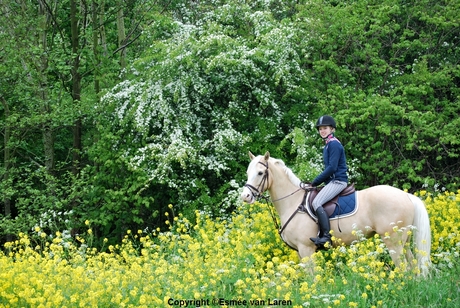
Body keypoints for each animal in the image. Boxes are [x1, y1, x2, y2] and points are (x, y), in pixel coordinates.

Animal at [241, 152, 432, 276]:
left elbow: (312, 279)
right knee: (412, 267)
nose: (245, 196)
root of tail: (407, 196)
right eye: (248, 173)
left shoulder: (306, 249)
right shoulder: (300, 252)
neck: (293, 202)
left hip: (393, 243)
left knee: (404, 269)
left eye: (260, 173)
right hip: (403, 242)